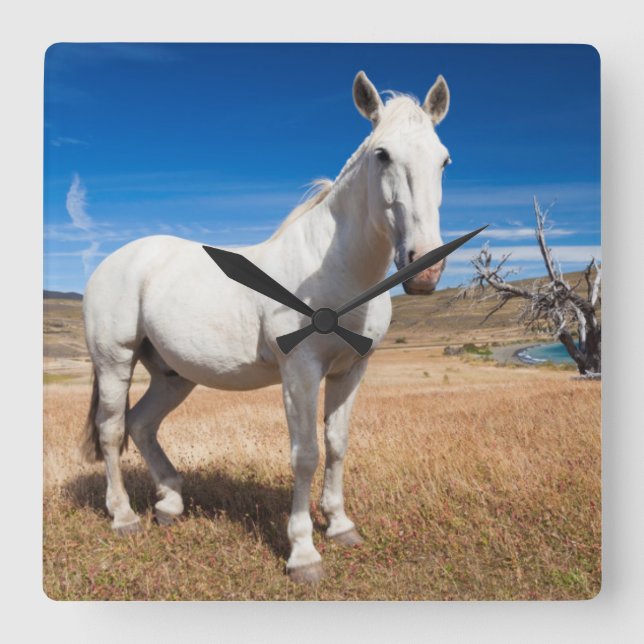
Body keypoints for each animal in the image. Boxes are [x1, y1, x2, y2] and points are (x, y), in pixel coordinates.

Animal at [82, 70, 452, 584]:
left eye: (443, 159)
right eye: (382, 154)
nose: (425, 270)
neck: (337, 269)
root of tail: (115, 260)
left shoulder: (350, 371)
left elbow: (337, 444)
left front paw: (341, 526)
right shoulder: (301, 372)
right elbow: (306, 454)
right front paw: (303, 554)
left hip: (173, 375)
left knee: (142, 424)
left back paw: (170, 504)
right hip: (114, 362)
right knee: (113, 430)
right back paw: (123, 517)